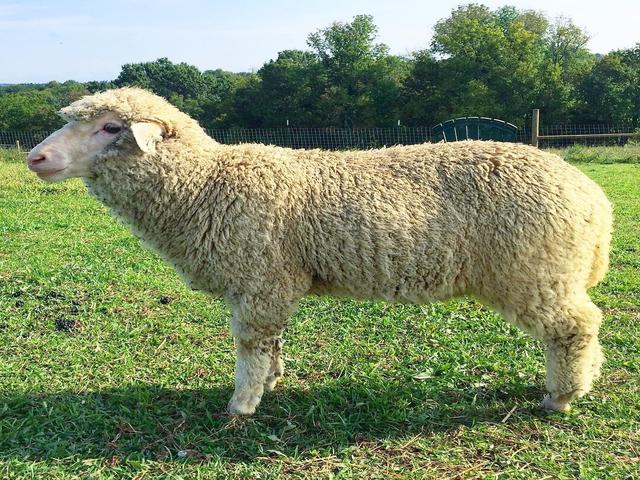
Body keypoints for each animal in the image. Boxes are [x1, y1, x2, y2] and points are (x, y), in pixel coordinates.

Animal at [26, 87, 613, 416]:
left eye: (110, 127)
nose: (36, 157)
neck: (205, 183)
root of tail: (593, 197)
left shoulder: (260, 279)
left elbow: (250, 346)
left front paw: (241, 405)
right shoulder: (266, 282)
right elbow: (270, 343)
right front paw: (273, 380)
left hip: (536, 270)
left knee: (575, 328)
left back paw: (562, 396)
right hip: (547, 270)